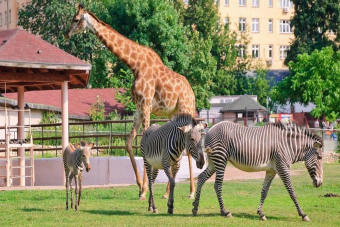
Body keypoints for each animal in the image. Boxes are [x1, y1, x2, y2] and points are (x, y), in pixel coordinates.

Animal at [65, 4, 198, 200]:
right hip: (173, 113)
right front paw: (140, 186)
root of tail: (192, 94)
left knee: (187, 147)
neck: (134, 64)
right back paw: (167, 192)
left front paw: (145, 190)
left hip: (185, 109)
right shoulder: (138, 108)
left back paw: (191, 192)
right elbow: (128, 143)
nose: (66, 34)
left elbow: (144, 141)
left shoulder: (146, 104)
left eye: (75, 19)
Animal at [193, 120, 322, 222]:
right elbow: (292, 192)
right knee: (217, 185)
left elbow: (264, 192)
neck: (288, 146)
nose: (320, 183)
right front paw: (303, 214)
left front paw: (261, 214)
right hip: (220, 159)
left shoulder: (271, 171)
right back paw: (225, 211)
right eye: (319, 157)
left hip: (213, 162)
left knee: (201, 178)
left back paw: (195, 207)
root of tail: (210, 129)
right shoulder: (283, 168)